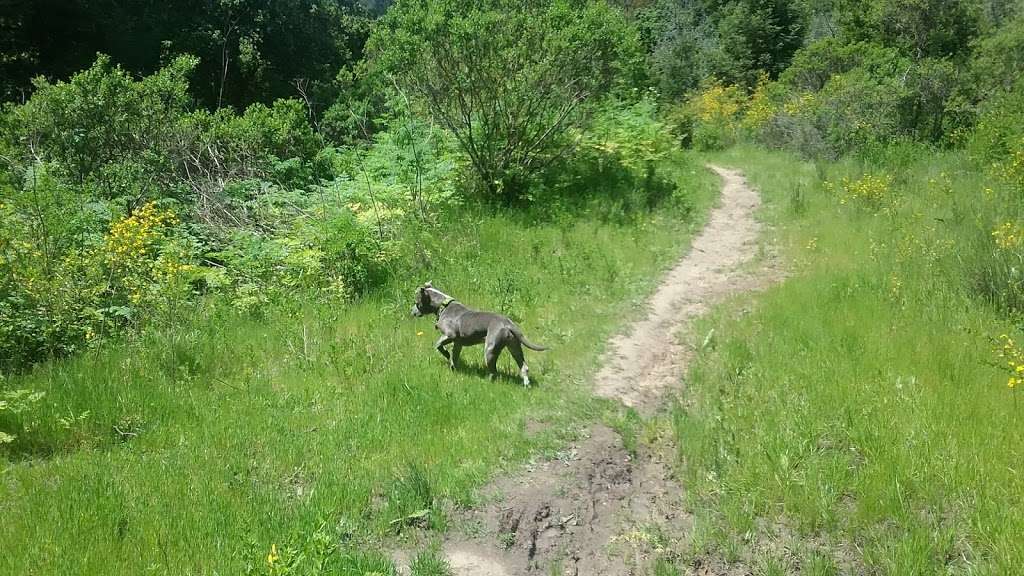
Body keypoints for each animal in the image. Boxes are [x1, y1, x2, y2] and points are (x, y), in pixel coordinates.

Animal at [411, 278, 548, 383]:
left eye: (416, 303)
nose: (410, 311)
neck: (443, 305)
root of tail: (508, 323)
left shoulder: (450, 335)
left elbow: (438, 344)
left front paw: (445, 353)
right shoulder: (458, 343)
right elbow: (454, 356)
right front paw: (453, 368)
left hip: (490, 349)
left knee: (494, 371)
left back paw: (487, 381)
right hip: (514, 346)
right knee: (524, 366)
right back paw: (526, 384)